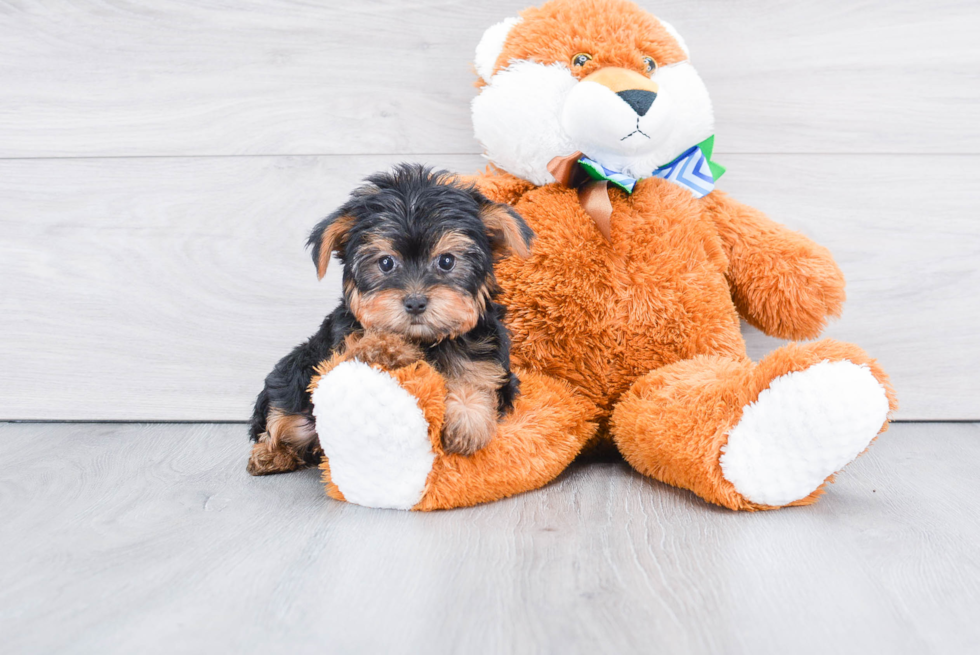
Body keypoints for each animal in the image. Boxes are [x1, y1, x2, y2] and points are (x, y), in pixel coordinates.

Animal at [247, 161, 536, 474]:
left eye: (447, 261)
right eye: (386, 263)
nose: (415, 302)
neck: (426, 340)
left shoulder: (487, 358)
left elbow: (476, 379)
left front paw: (467, 421)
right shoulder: (339, 346)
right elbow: (360, 349)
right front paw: (387, 347)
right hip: (293, 377)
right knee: (284, 415)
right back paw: (269, 454)